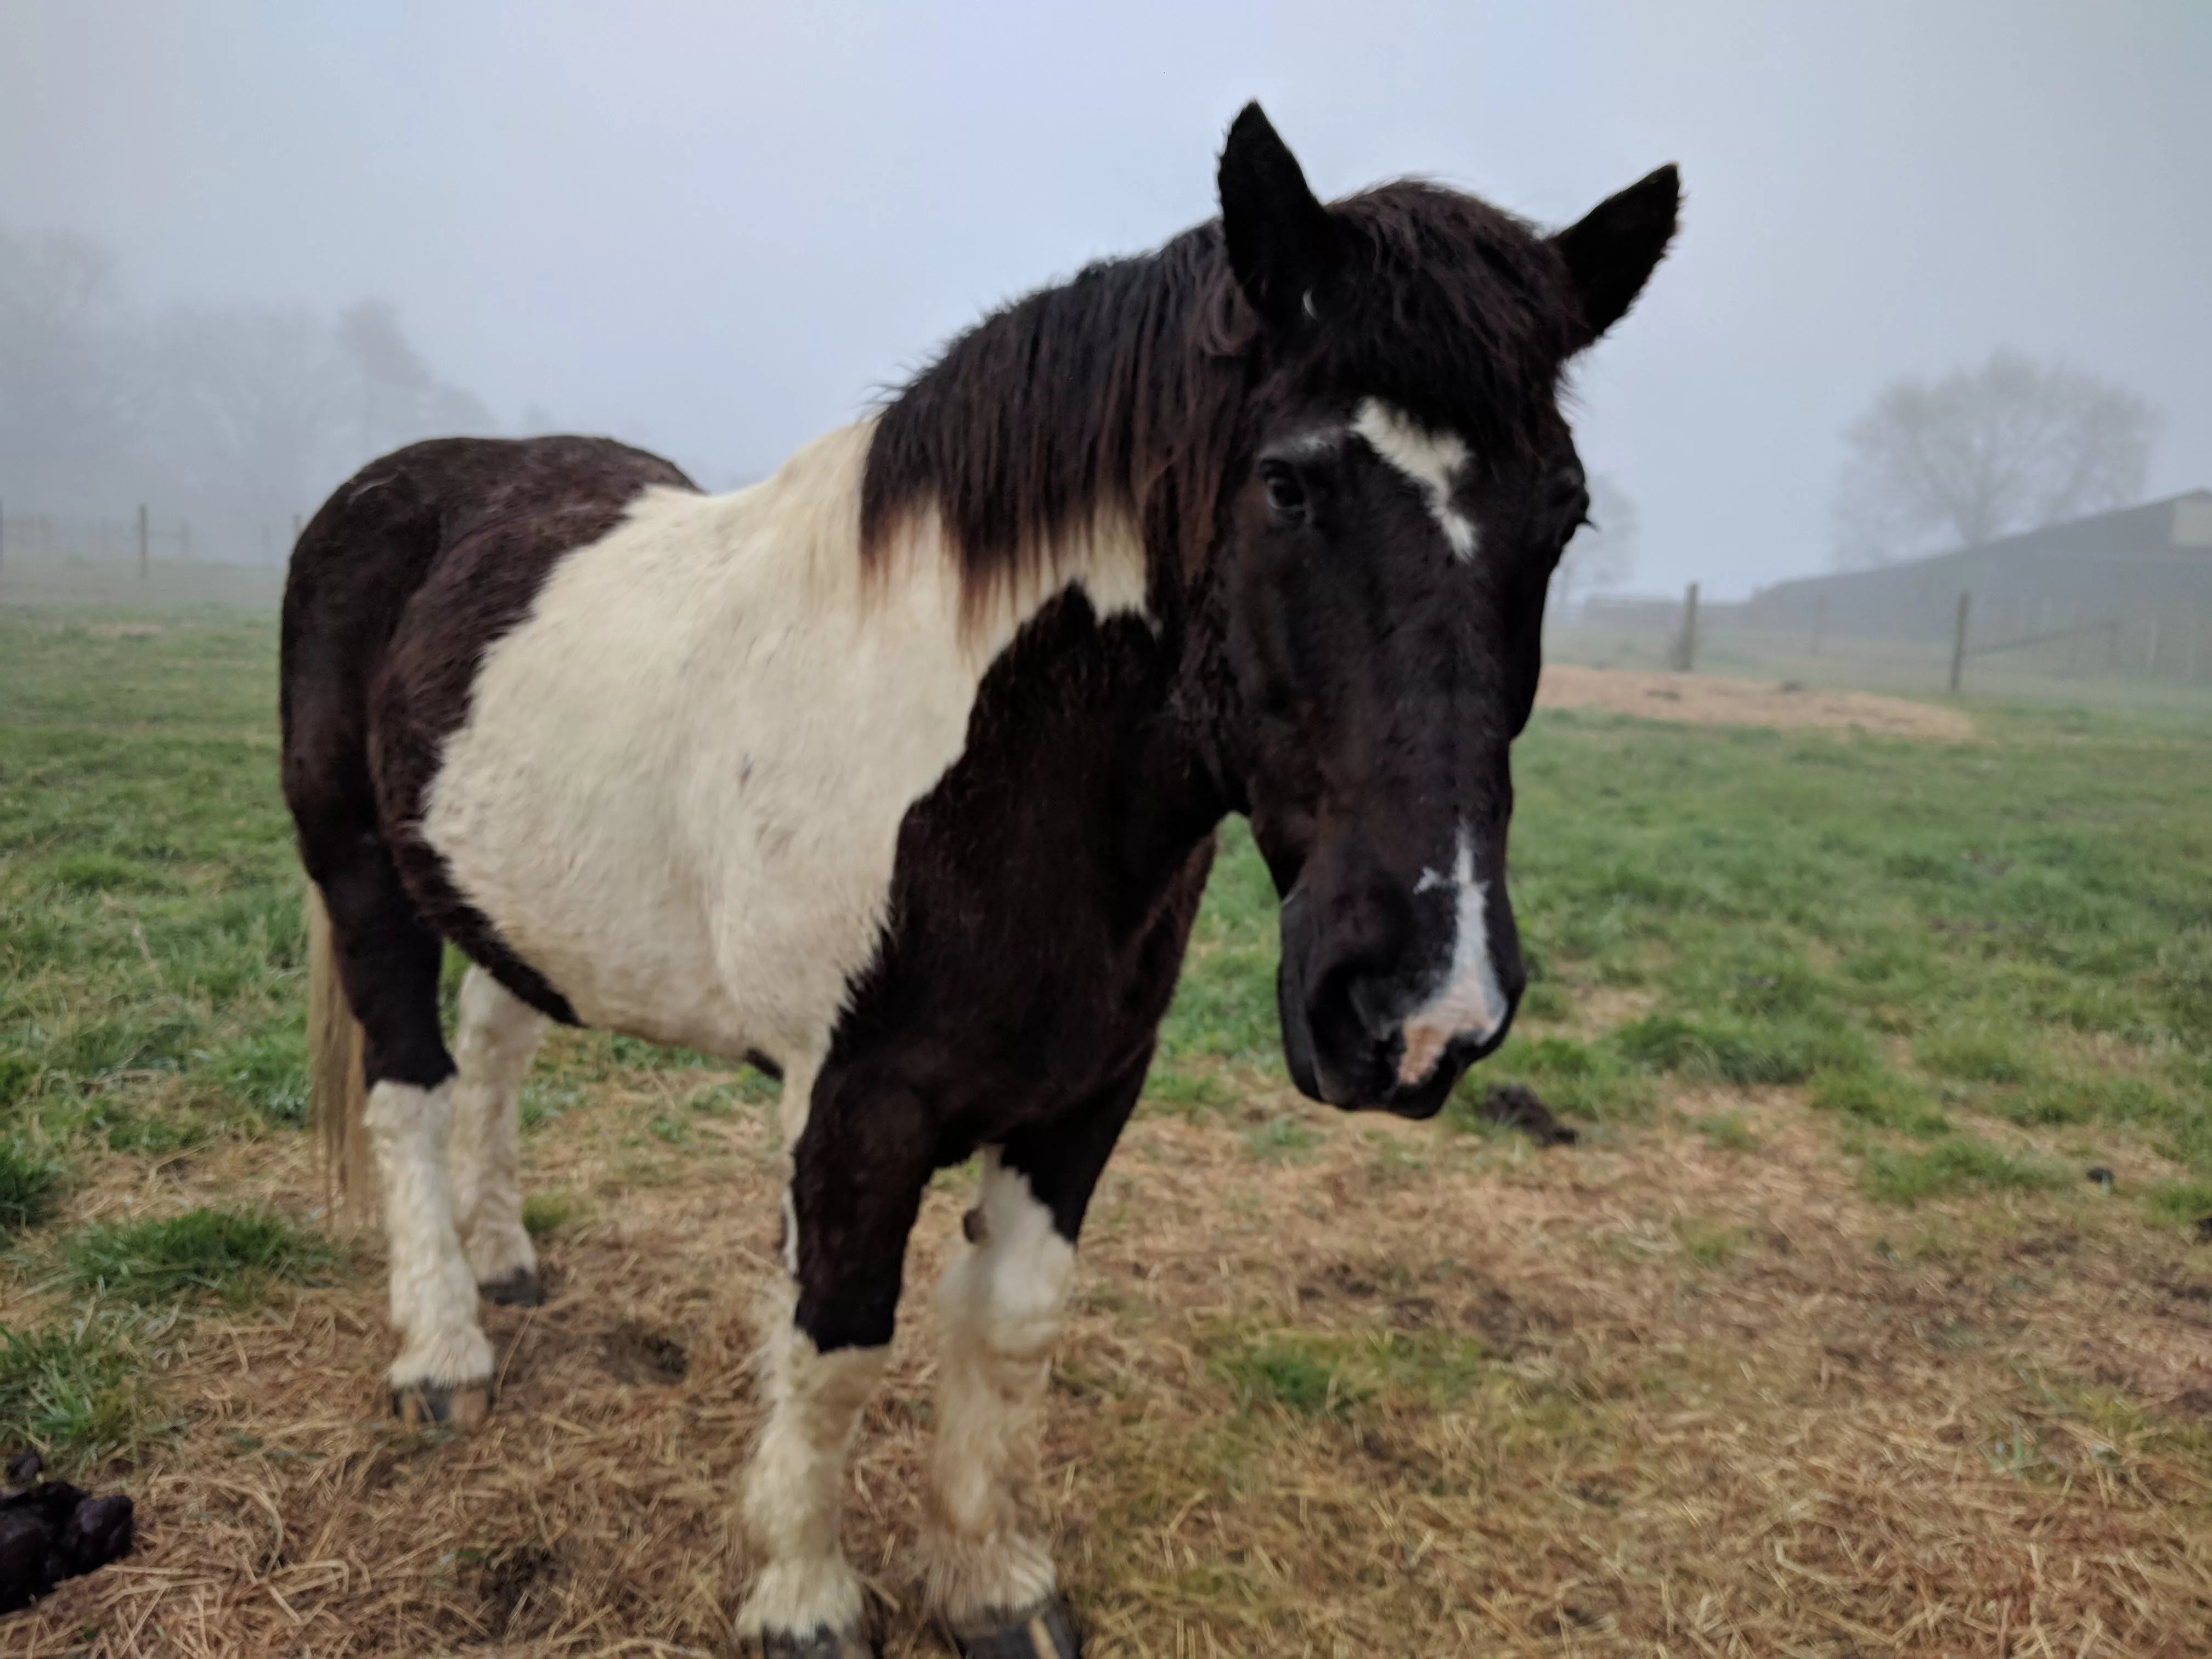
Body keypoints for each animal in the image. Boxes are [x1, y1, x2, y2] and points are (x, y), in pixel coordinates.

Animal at [285, 104, 1681, 1659]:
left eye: (1564, 514)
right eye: (1289, 483)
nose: (1422, 1007)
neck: (988, 765)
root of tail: (395, 488)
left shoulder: (1088, 1095)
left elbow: (1012, 1327)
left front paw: (993, 1582)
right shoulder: (852, 1106)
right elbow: (836, 1348)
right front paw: (803, 1600)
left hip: (509, 895)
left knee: (497, 1041)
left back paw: (506, 1260)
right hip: (362, 878)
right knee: (411, 1091)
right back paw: (443, 1350)